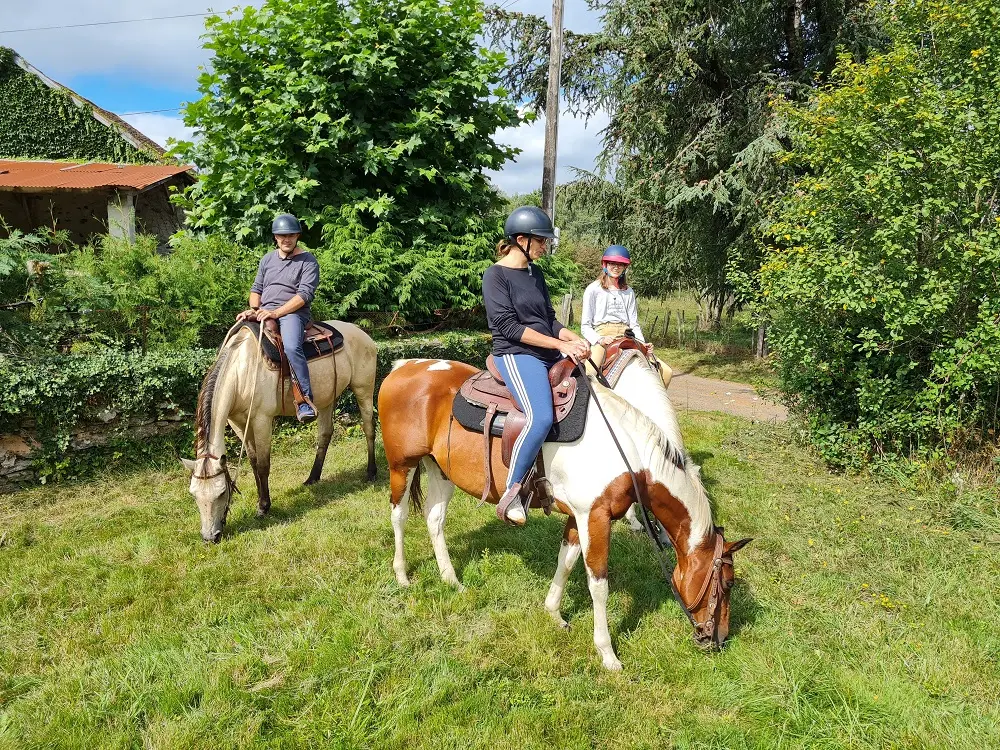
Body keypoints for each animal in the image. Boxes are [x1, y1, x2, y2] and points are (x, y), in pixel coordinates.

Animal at [180, 320, 378, 544]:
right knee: (325, 434)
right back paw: (312, 478)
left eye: (222, 493)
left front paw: (264, 507)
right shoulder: (239, 423)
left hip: (363, 389)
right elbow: (254, 462)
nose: (209, 537)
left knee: (368, 427)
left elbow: (263, 465)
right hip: (326, 398)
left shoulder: (262, 420)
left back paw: (371, 472)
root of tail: (361, 333)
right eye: (193, 494)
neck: (242, 371)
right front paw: (260, 500)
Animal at [378, 362, 748, 672]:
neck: (629, 453)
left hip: (440, 469)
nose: (719, 640)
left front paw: (554, 613)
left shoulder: (579, 517)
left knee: (434, 519)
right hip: (401, 466)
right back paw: (402, 575)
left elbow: (566, 561)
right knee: (398, 517)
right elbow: (598, 585)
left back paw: (451, 579)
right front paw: (607, 654)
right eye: (727, 584)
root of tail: (403, 367)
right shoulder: (594, 517)